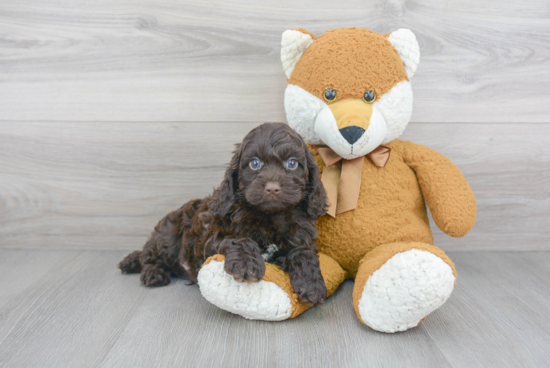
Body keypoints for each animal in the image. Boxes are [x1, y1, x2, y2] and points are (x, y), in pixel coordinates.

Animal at [119, 123, 330, 304]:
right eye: (255, 163)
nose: (272, 188)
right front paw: (247, 265)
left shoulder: (301, 236)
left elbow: (303, 252)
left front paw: (311, 283)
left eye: (292, 163)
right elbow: (238, 239)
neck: (270, 215)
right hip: (169, 235)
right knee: (149, 255)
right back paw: (153, 273)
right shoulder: (211, 239)